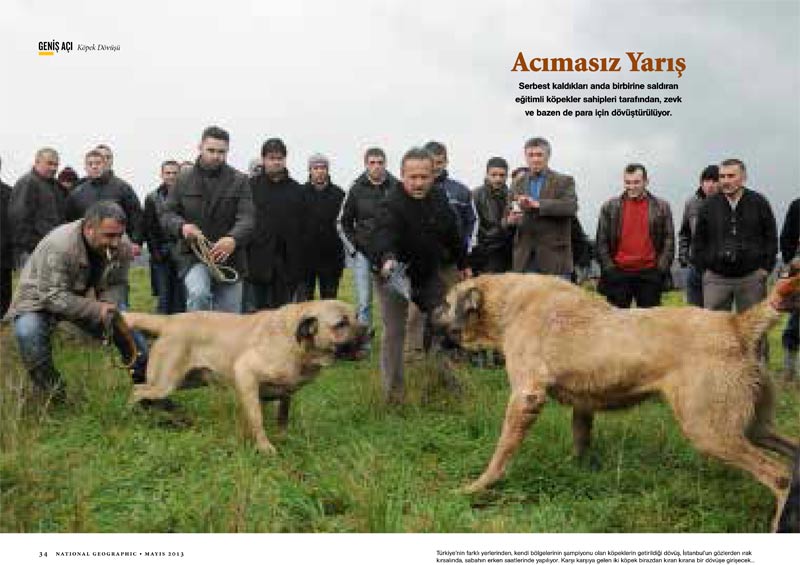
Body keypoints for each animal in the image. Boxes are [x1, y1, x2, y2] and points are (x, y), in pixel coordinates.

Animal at [123, 300, 368, 454]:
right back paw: (133, 413)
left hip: (186, 380)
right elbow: (257, 419)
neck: (294, 341)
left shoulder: (285, 393)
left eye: (357, 316)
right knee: (137, 390)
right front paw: (264, 447)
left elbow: (283, 417)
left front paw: (283, 437)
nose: (370, 330)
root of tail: (169, 320)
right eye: (341, 324)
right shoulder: (246, 374)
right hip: (166, 381)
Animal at [434, 268, 796, 506]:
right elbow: (580, 440)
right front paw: (576, 470)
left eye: (446, 301)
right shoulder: (583, 404)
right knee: (791, 456)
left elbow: (502, 450)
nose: (432, 313)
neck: (509, 303)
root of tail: (735, 325)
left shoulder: (526, 395)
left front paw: (477, 487)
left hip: (709, 429)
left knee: (780, 476)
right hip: (752, 426)